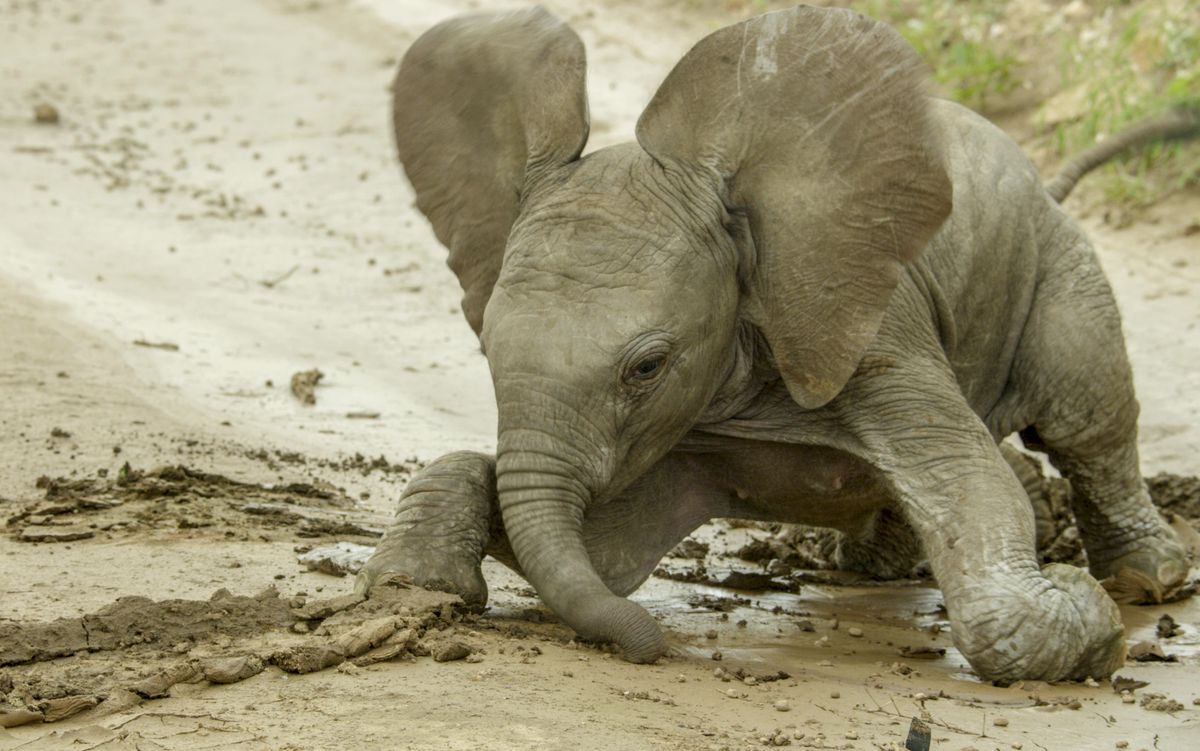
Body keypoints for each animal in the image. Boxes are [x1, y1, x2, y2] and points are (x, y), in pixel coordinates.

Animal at [355, 2, 1190, 681]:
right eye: (487, 348)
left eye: (647, 367)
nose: (656, 646)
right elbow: (607, 556)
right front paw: (417, 585)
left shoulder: (876, 333)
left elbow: (974, 486)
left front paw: (1084, 613)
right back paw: (873, 564)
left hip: (1058, 260)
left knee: (1088, 417)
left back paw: (1147, 578)